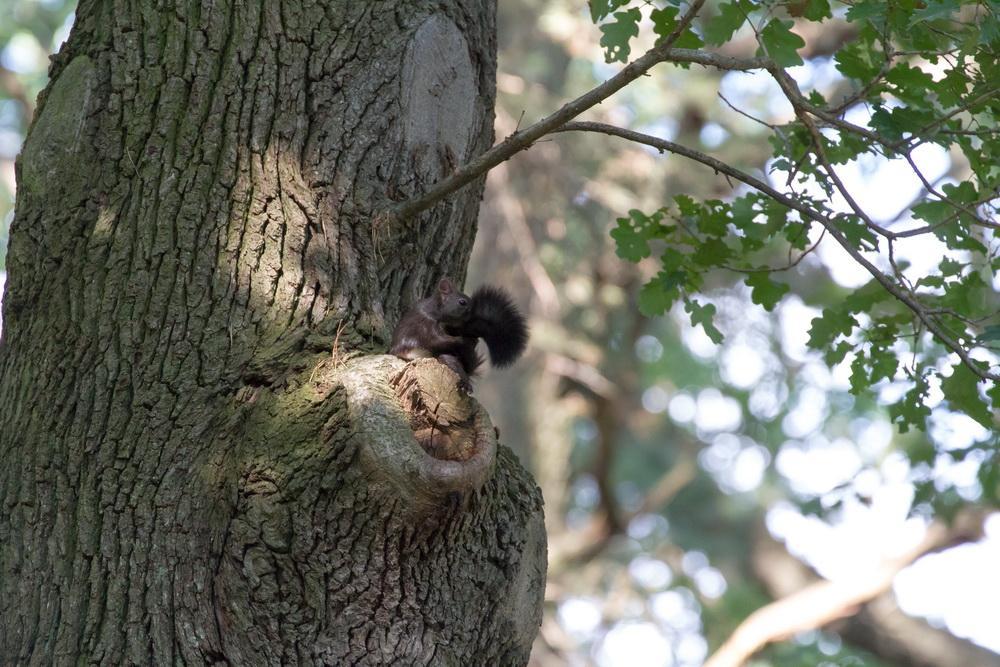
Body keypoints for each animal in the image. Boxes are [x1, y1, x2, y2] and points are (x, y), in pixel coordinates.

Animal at [390, 278, 532, 392]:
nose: (474, 315)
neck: (434, 310)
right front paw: (465, 340)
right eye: (462, 302)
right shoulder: (425, 326)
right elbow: (437, 340)